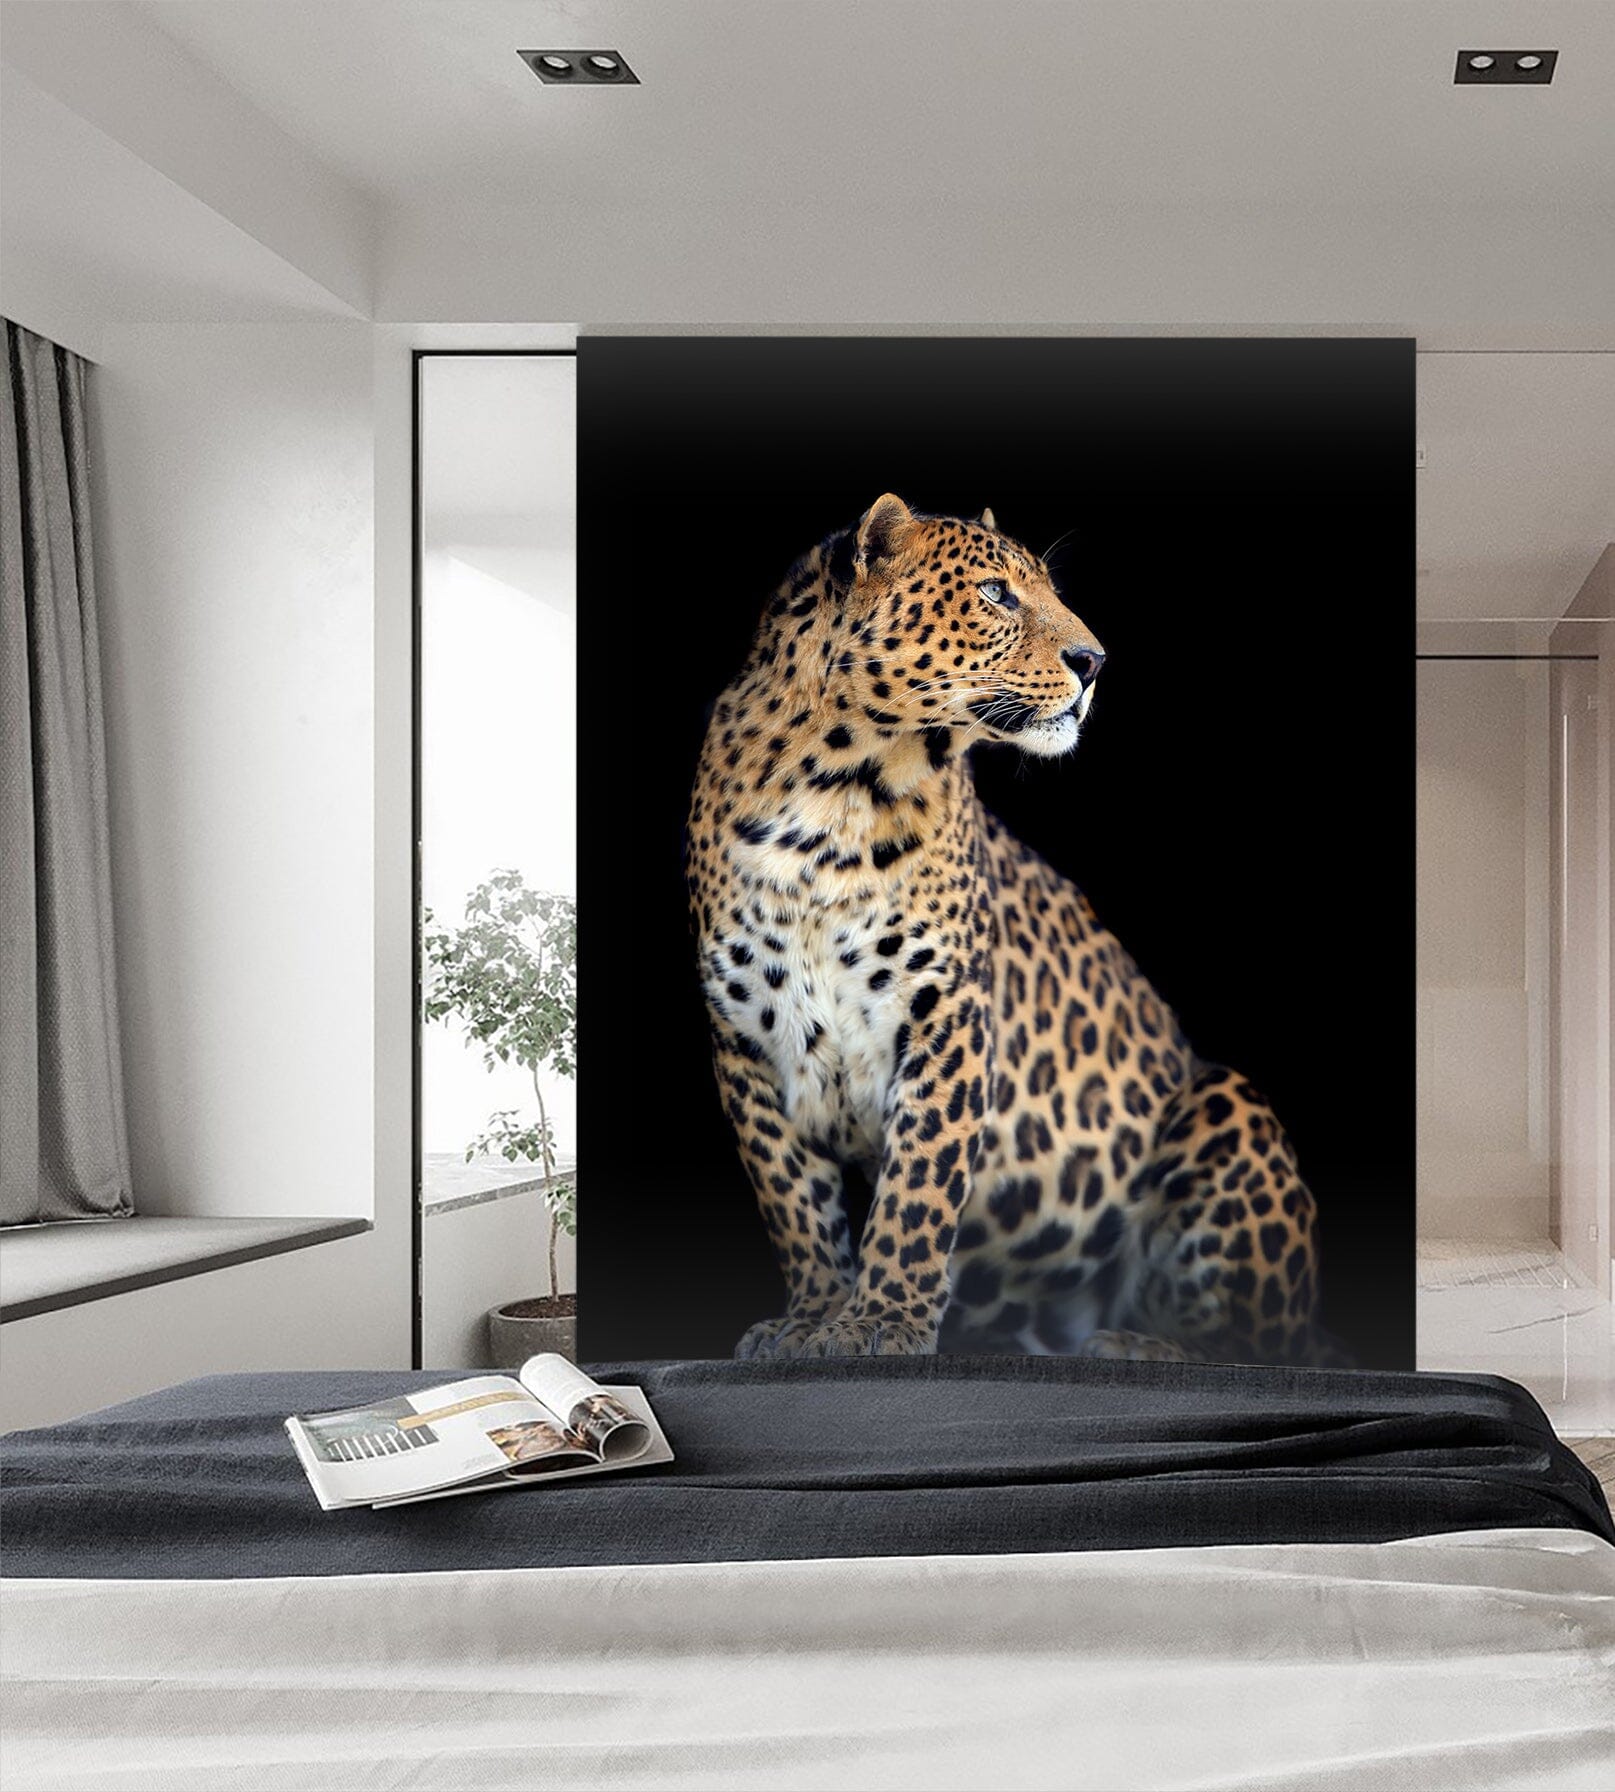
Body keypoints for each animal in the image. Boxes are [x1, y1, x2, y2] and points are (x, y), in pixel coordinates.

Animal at [685, 494, 1341, 1365]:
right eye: (996, 594)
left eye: (1046, 590)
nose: (1094, 661)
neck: (832, 793)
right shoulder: (745, 1038)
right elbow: (792, 1198)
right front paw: (812, 1317)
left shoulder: (945, 1012)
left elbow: (917, 1187)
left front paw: (881, 1322)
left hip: (1227, 1104)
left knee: (1264, 1346)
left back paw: (1133, 1346)